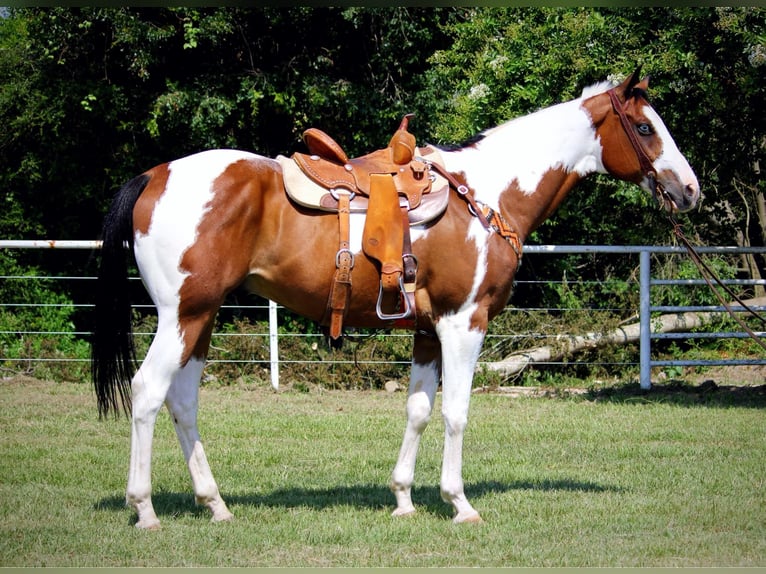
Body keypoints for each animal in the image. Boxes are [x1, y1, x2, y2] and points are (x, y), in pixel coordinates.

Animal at [92, 70, 699, 529]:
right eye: (644, 127)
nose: (690, 190)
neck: (489, 193)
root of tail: (154, 176)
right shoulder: (464, 323)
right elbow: (456, 412)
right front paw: (460, 504)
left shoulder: (429, 330)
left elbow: (418, 410)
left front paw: (404, 499)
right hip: (183, 315)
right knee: (147, 392)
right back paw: (144, 510)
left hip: (201, 319)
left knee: (183, 401)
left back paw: (215, 505)